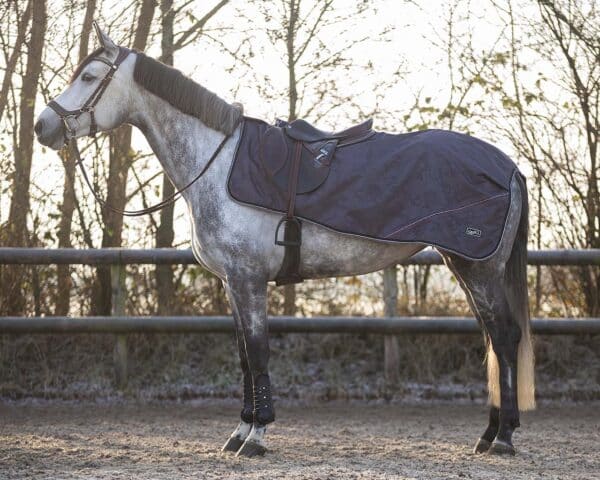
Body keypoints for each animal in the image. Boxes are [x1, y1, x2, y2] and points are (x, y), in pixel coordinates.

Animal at [35, 25, 536, 458]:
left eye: (89, 77)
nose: (44, 127)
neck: (217, 163)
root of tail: (508, 166)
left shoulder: (248, 279)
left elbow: (257, 353)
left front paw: (256, 437)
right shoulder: (232, 284)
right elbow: (243, 357)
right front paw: (239, 433)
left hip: (479, 268)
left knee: (504, 338)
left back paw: (503, 438)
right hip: (464, 265)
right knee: (493, 340)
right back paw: (489, 435)